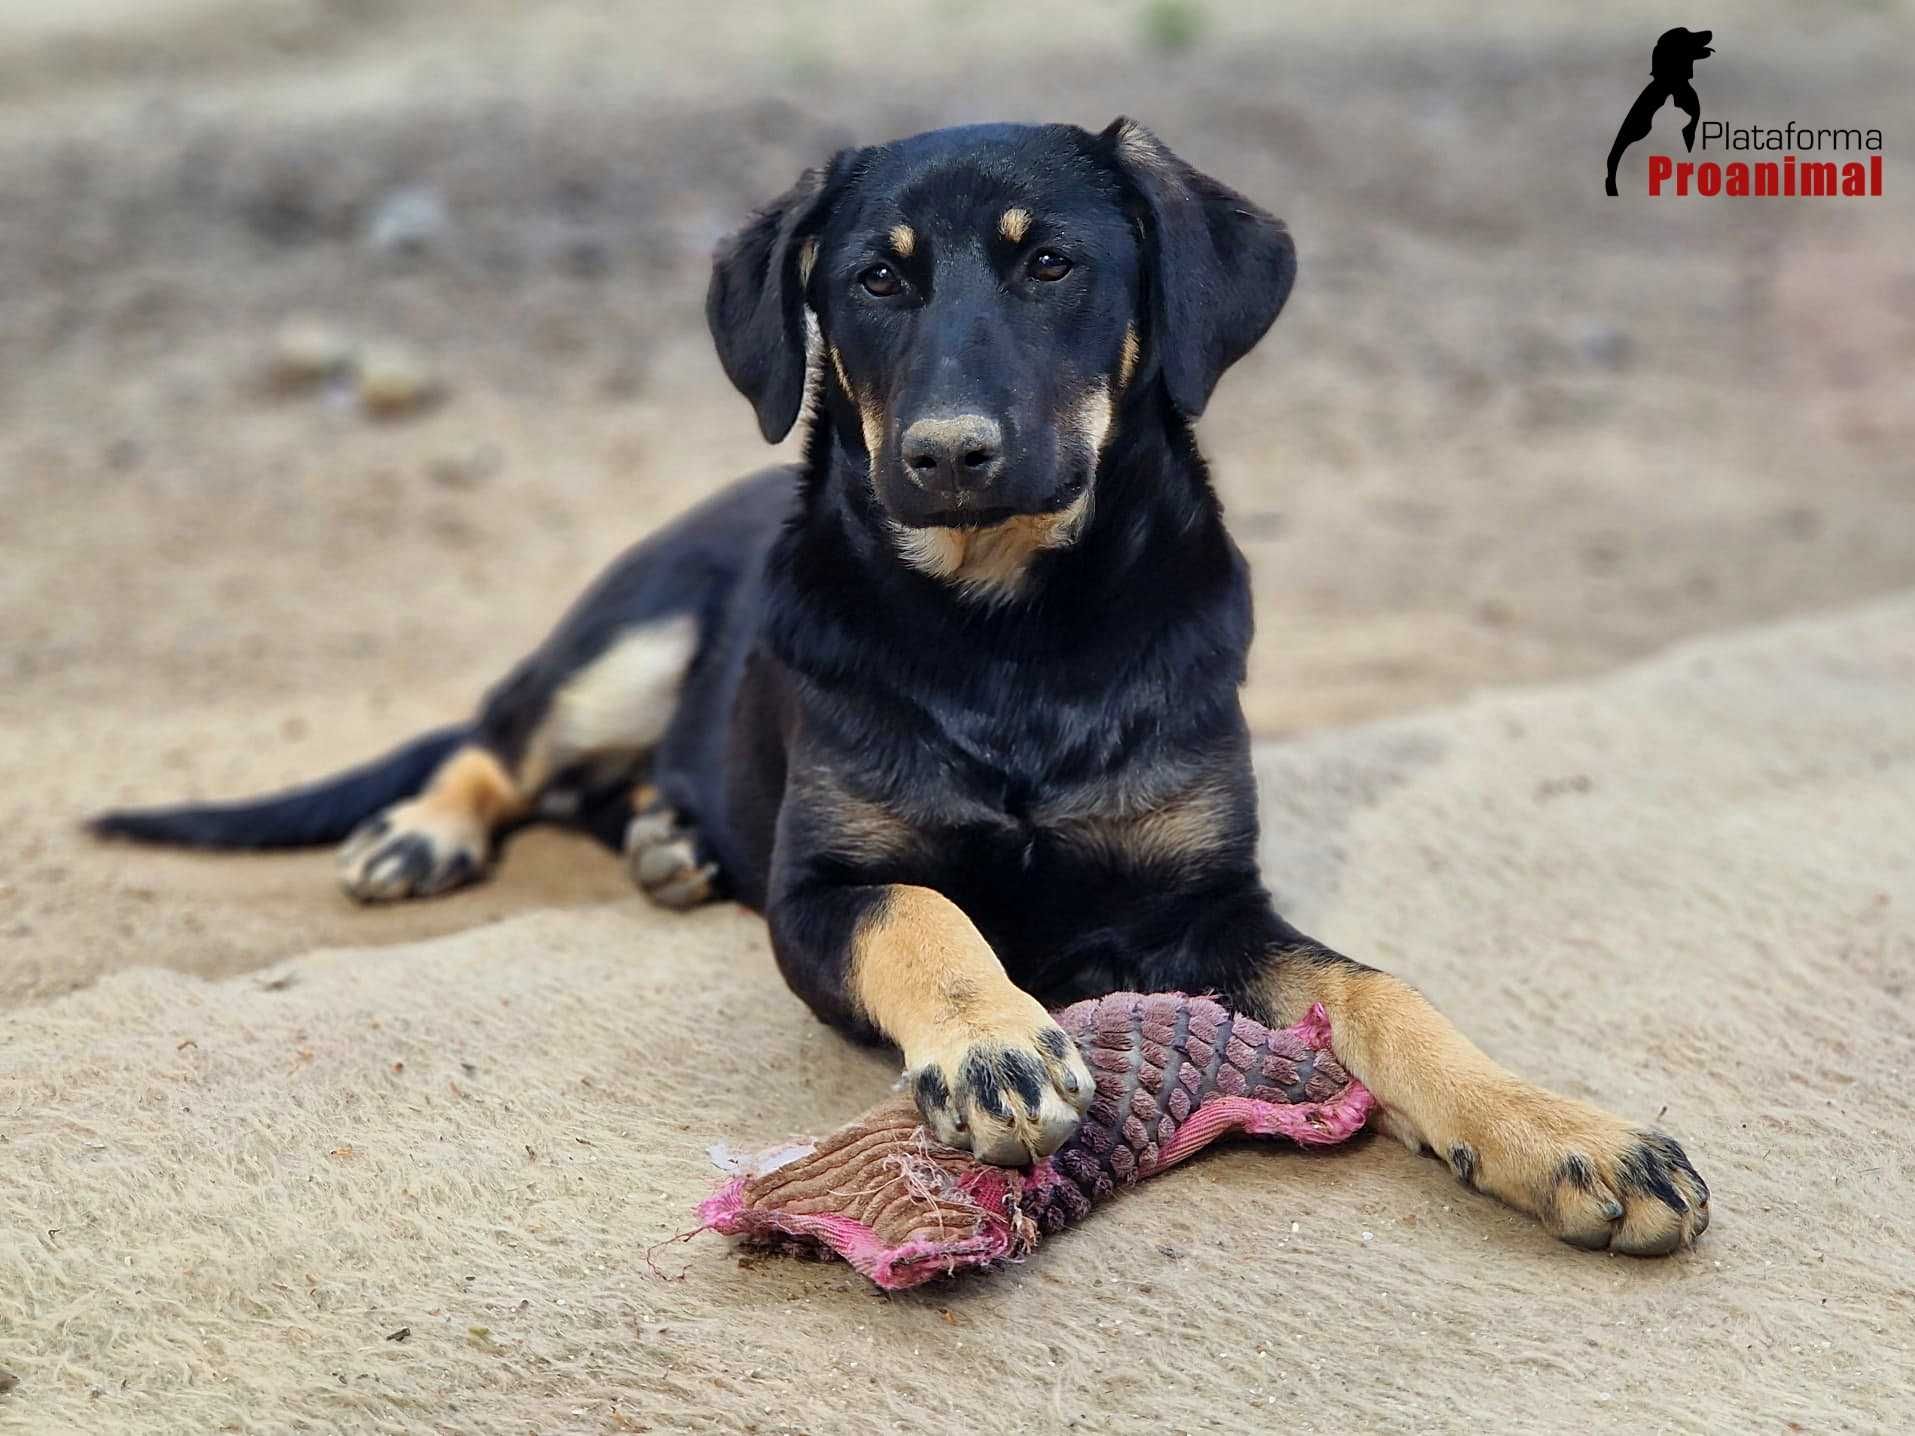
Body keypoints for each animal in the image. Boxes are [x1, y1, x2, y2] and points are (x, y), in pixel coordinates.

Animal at [93, 118, 1708, 1256]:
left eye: (1052, 264)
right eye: (874, 278)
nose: (942, 454)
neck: (1008, 632)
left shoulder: (1206, 902)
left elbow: (1382, 993)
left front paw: (1563, 1134)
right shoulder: (822, 891)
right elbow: (926, 914)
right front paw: (992, 1045)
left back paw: (667, 842)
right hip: (629, 632)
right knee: (499, 741)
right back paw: (430, 831)